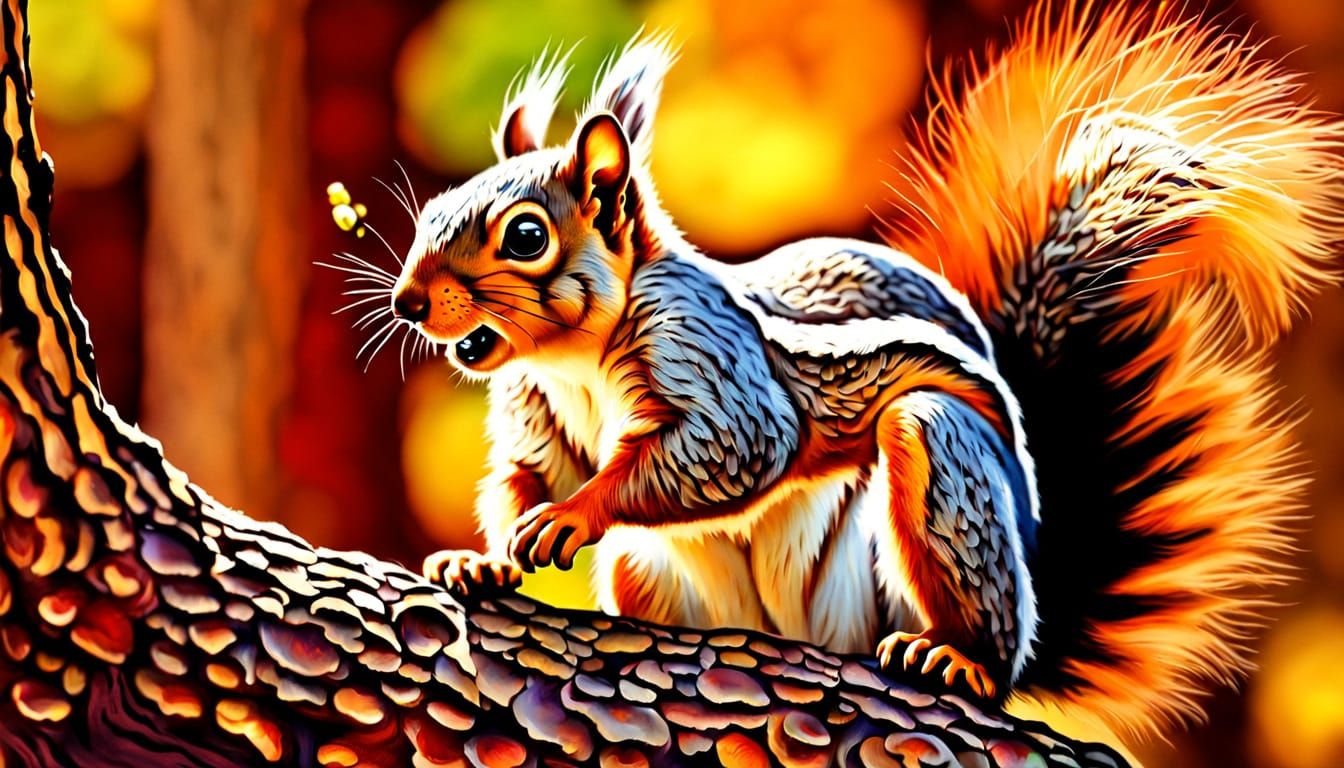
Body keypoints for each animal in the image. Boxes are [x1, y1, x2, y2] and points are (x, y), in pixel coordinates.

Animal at [389, 3, 1344, 737]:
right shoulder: (533, 410)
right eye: (433, 213)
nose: (408, 302)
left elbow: (736, 446)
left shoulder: (713, 353)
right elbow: (525, 475)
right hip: (649, 570)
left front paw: (570, 516)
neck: (573, 360)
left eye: (526, 236)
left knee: (980, 613)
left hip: (941, 476)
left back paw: (957, 657)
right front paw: (484, 560)